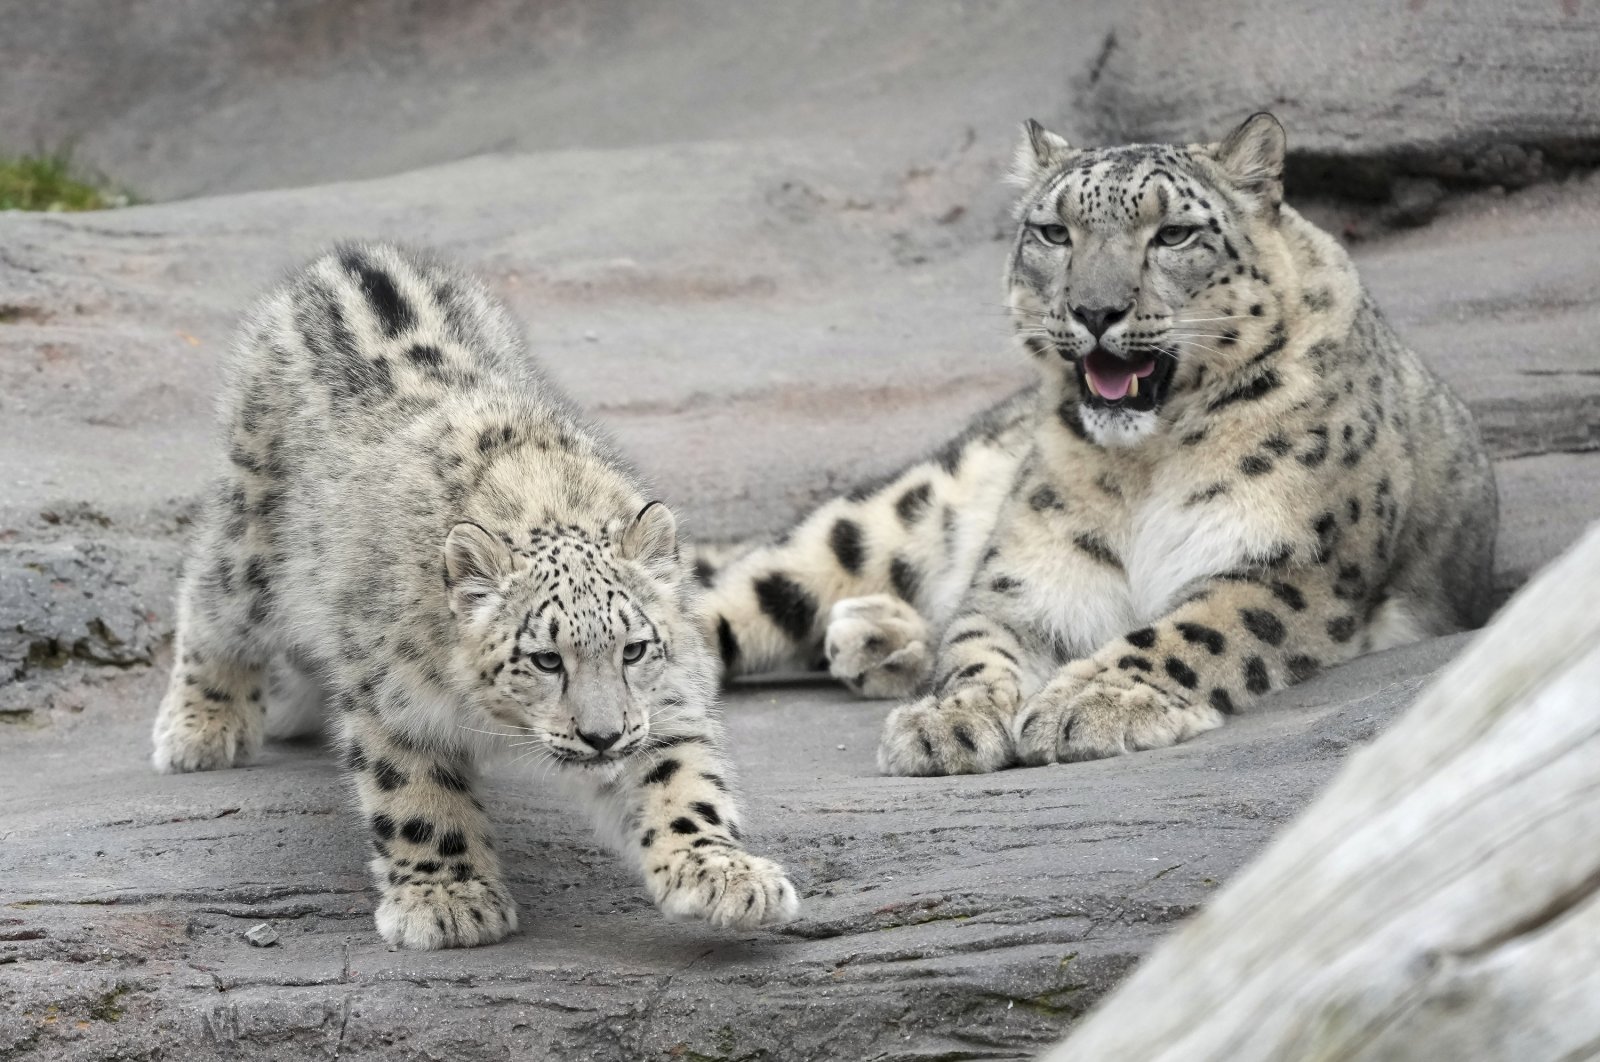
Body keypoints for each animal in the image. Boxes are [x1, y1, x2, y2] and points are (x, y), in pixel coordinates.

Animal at [150, 243, 799, 948]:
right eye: (545, 659)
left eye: (633, 649)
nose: (602, 737)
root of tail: (354, 258)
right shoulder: (394, 701)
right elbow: (416, 796)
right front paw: (448, 900)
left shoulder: (665, 703)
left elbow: (679, 781)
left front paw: (725, 875)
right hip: (253, 551)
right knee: (209, 604)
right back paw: (200, 728)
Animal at [695, 113, 1497, 776]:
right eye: (1054, 233)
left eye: (1173, 234)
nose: (1094, 310)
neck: (1146, 466)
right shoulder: (1028, 574)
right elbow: (978, 647)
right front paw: (948, 720)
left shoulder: (1287, 563)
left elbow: (1190, 632)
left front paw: (1091, 704)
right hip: (885, 516)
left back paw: (876, 639)